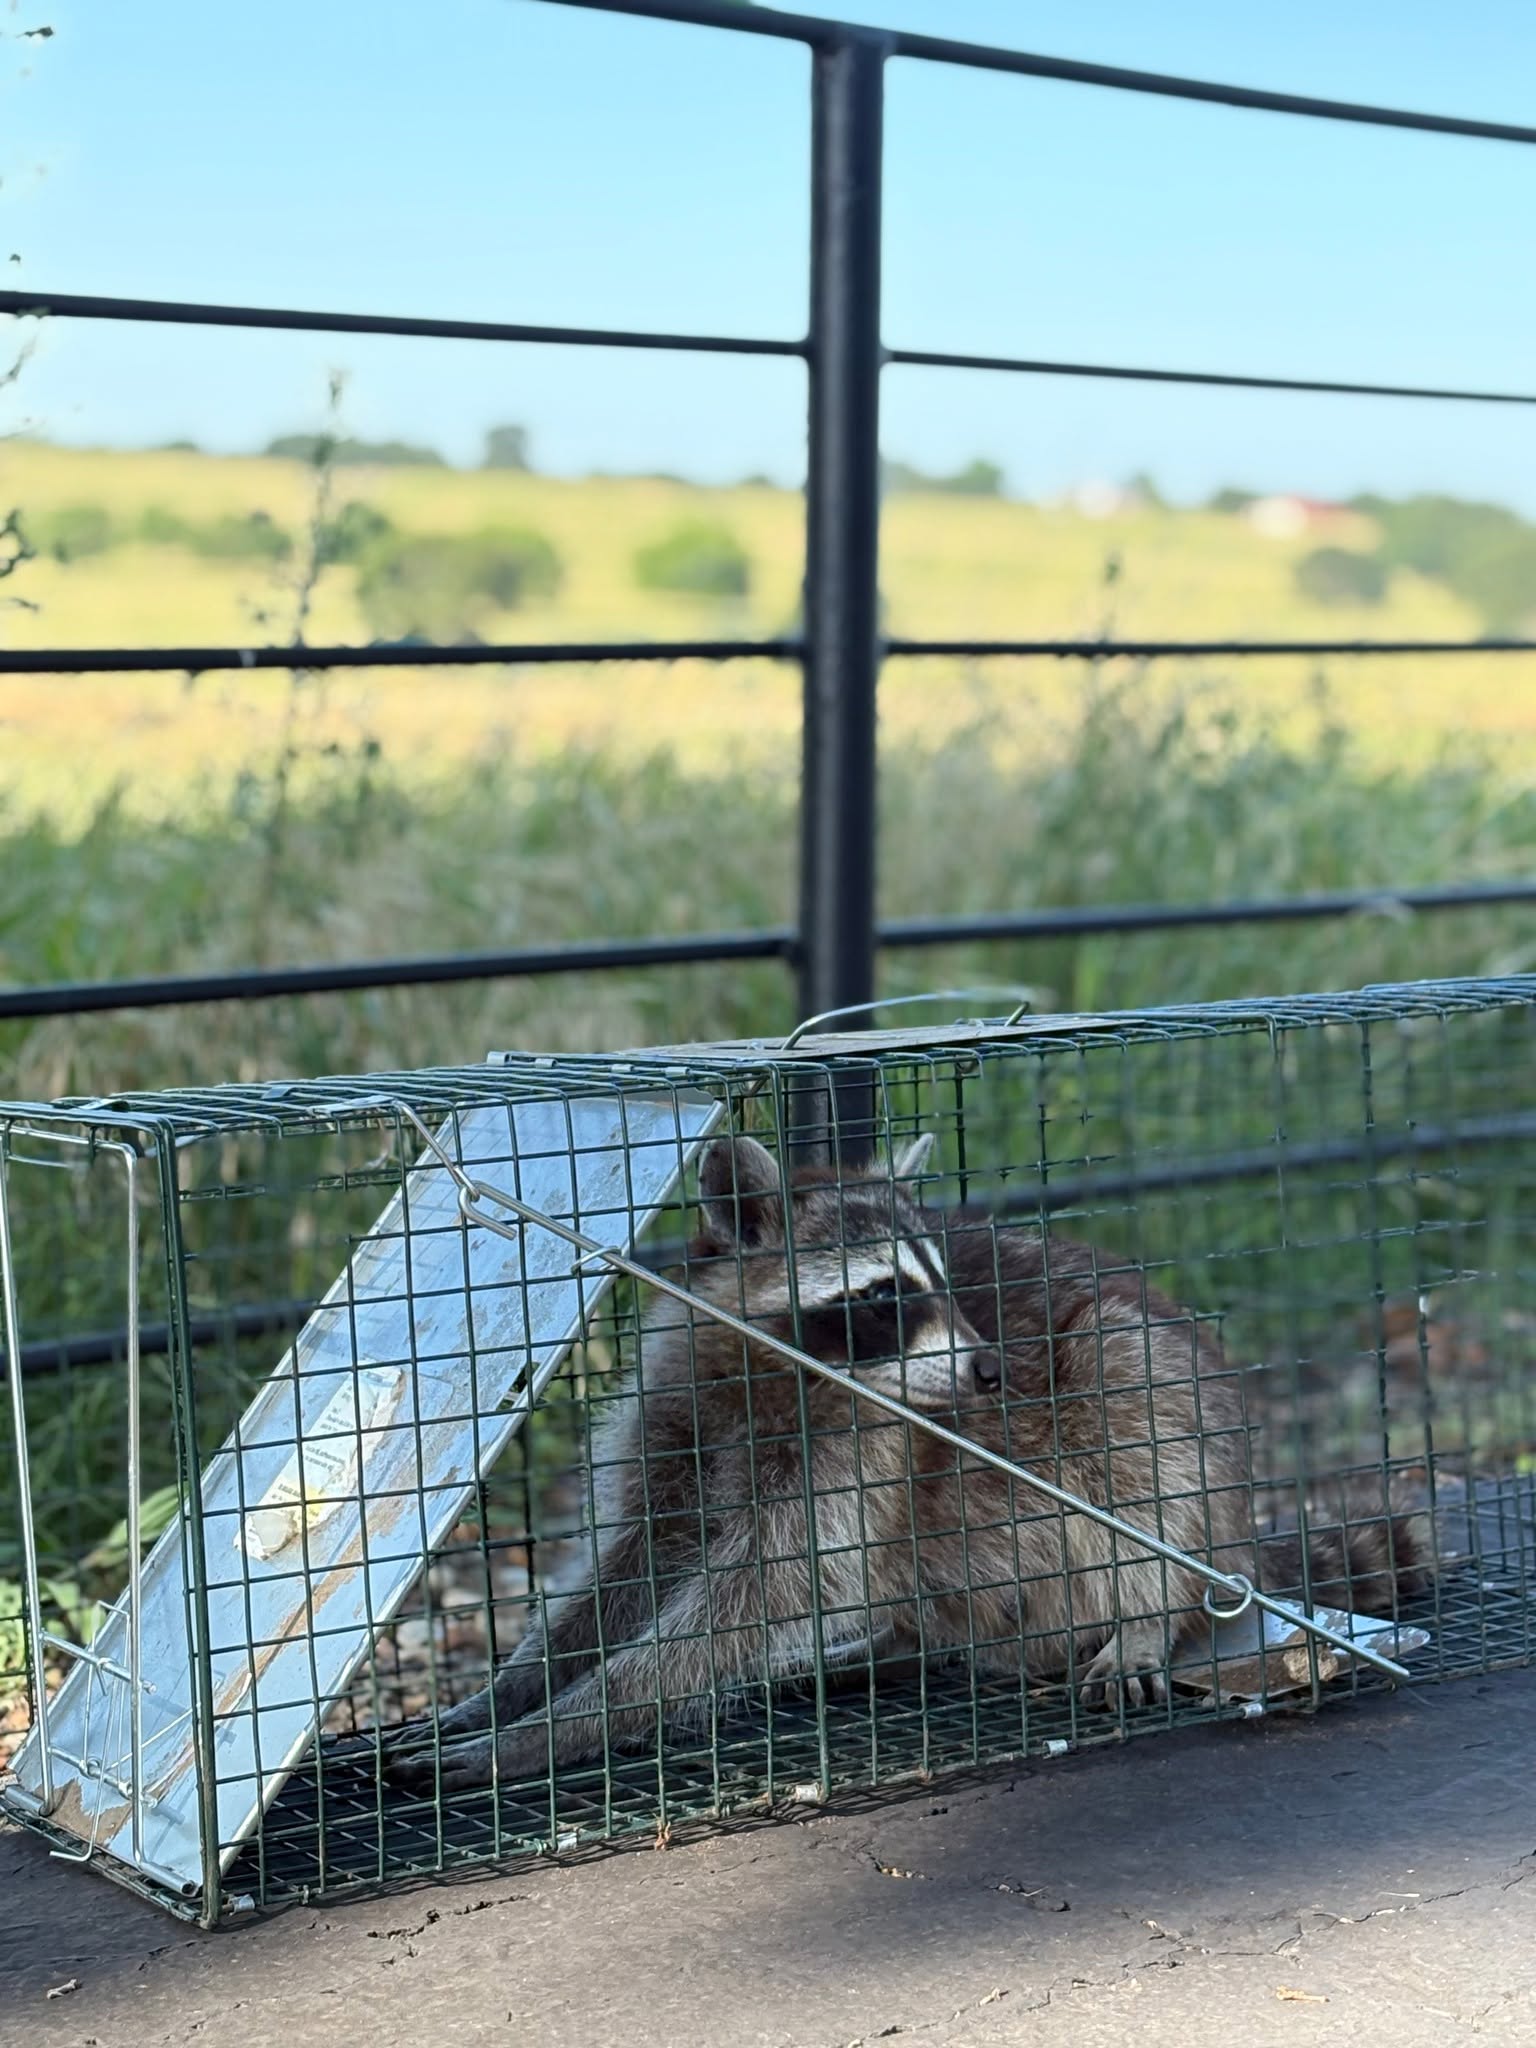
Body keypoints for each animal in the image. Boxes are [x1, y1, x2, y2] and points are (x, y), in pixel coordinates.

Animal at [390, 1132, 1434, 1792]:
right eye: (885, 1293)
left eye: (940, 1278)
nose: (992, 1371)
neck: (772, 1375)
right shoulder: (674, 1420)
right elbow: (626, 1571)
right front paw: (508, 1694)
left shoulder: (858, 1455)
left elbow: (745, 1601)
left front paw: (569, 1722)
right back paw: (880, 1649)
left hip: (1159, 1398)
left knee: (1149, 1461)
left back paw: (1144, 1618)